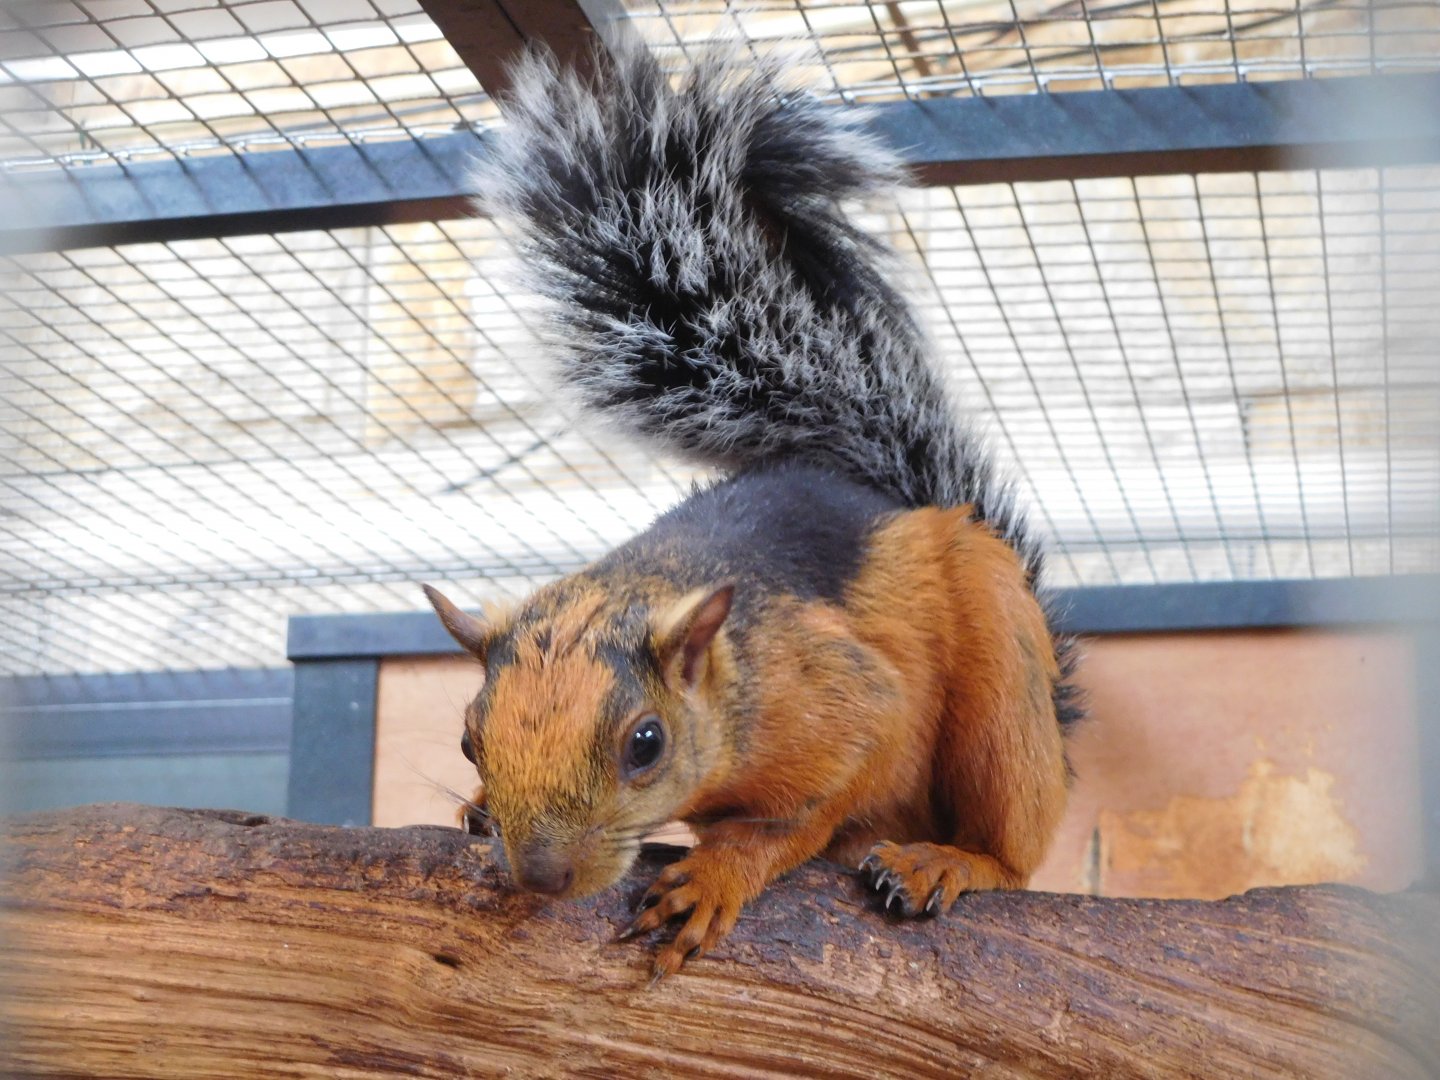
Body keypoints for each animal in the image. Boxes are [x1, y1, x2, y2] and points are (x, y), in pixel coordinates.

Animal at [423, 45, 1082, 981]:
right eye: (468, 739)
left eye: (646, 742)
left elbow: (796, 813)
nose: (542, 876)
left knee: (1013, 847)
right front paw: (478, 806)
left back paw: (947, 862)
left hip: (1002, 688)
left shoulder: (847, 700)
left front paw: (717, 874)